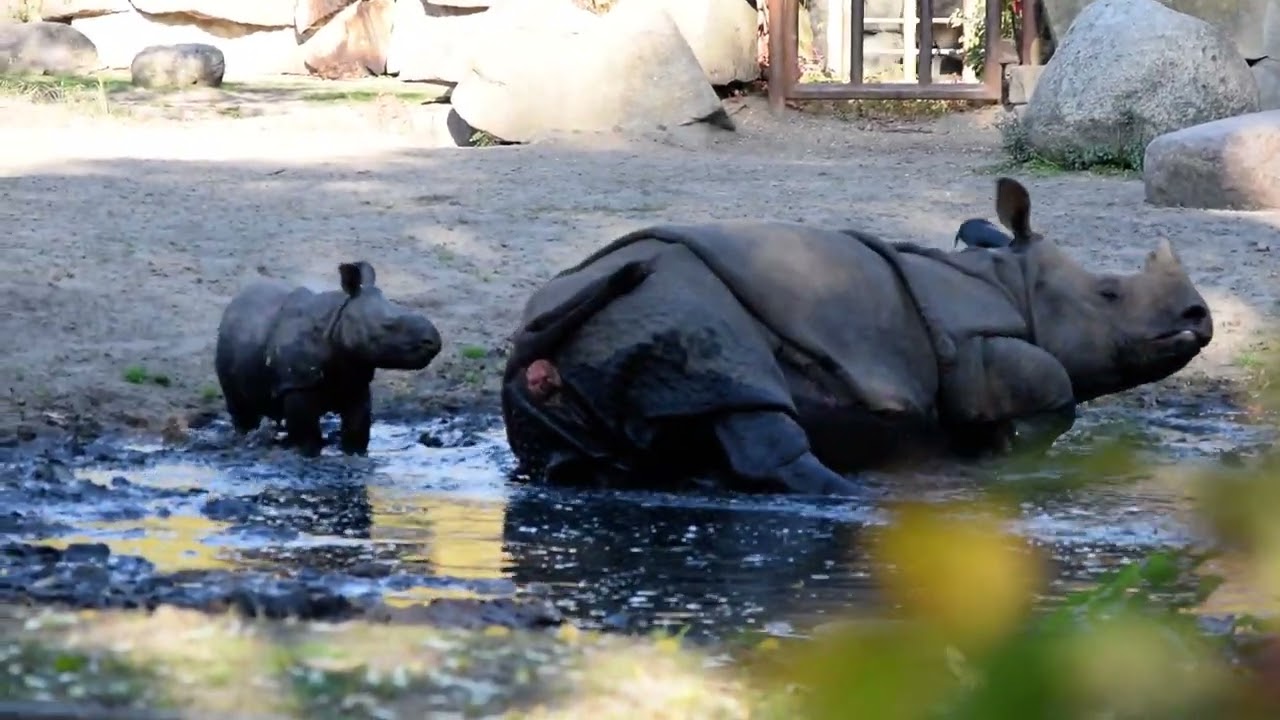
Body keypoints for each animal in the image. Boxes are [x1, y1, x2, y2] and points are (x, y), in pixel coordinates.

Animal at [215, 261, 442, 457]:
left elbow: (357, 430)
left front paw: (354, 453)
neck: (339, 316)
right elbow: (307, 437)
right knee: (241, 411)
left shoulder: (356, 378)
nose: (434, 342)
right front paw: (309, 452)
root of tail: (235, 301)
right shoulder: (297, 383)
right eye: (388, 326)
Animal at [500, 178, 1214, 495]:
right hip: (675, 299)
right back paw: (852, 494)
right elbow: (1055, 386)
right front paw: (1013, 450)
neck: (1013, 284)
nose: (1199, 317)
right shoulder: (974, 342)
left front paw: (985, 453)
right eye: (1110, 294)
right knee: (743, 387)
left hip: (600, 333)